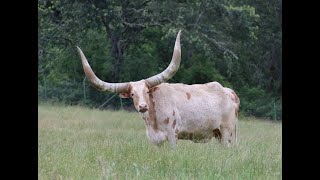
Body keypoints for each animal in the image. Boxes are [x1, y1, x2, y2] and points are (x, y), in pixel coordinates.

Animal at [76, 30, 239, 148]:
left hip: (227, 131)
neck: (152, 119)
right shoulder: (155, 140)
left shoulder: (173, 135)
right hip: (218, 133)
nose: (142, 106)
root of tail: (230, 92)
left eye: (147, 91)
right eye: (132, 94)